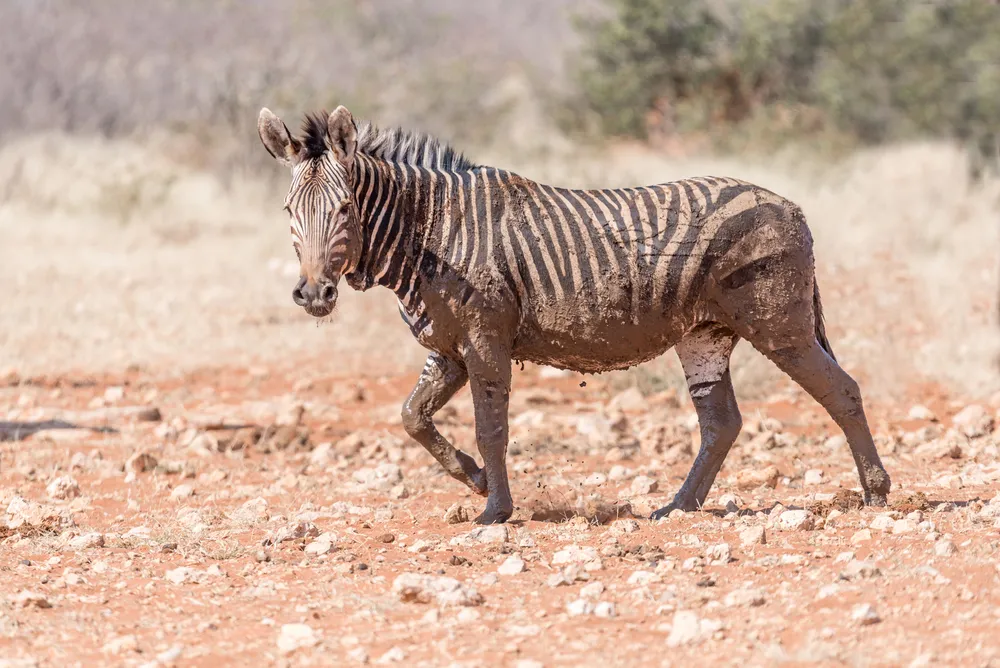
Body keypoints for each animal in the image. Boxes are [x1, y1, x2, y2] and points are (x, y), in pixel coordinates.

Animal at [258, 105, 891, 525]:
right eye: (288, 211)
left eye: (344, 209)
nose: (314, 295)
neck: (431, 232)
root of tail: (790, 204)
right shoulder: (448, 348)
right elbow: (413, 417)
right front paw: (476, 480)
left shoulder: (485, 337)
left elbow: (491, 428)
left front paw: (495, 510)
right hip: (704, 336)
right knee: (722, 423)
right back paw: (677, 507)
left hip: (778, 325)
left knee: (842, 391)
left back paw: (877, 494)